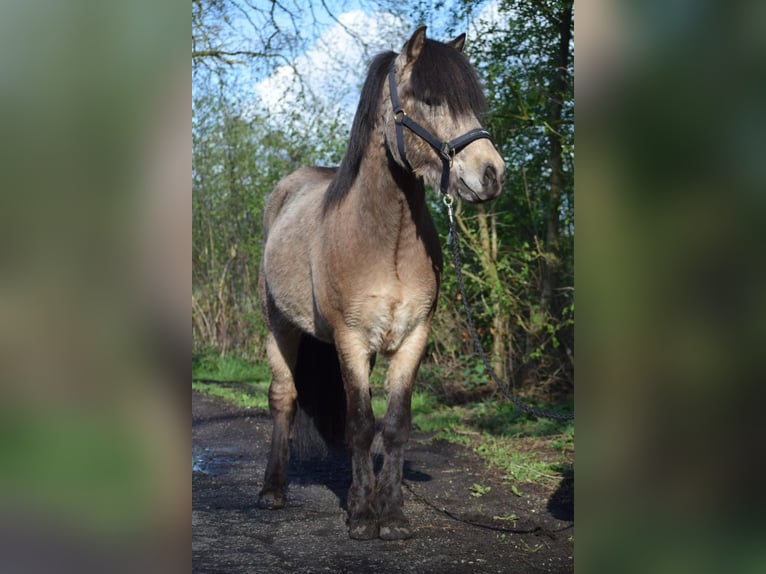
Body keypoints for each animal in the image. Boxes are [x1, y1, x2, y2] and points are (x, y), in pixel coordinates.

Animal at [257, 26, 505, 540]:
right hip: (279, 327)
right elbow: (359, 424)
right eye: (428, 99)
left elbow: (393, 425)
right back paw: (272, 490)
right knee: (283, 399)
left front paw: (390, 514)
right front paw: (362, 515)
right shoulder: (351, 339)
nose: (492, 173)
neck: (383, 239)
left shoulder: (413, 338)